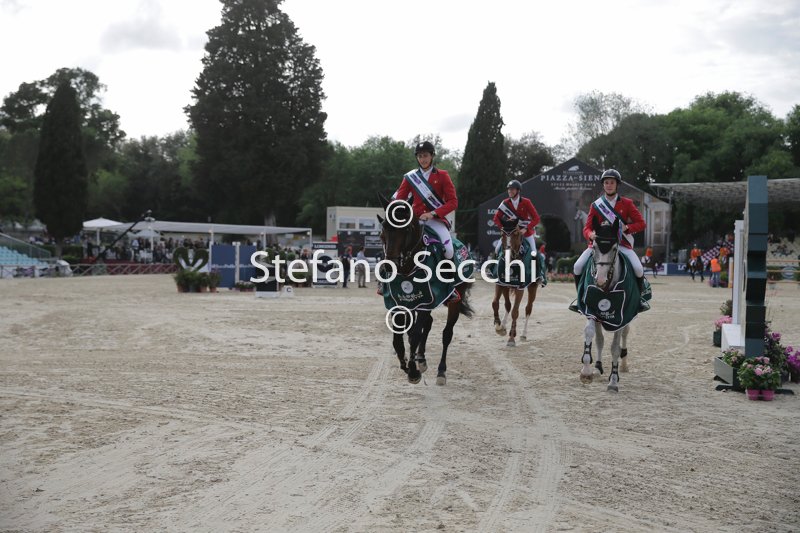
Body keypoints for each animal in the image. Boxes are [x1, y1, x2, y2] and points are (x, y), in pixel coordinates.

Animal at [378, 198, 474, 386]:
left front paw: (413, 371)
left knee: (446, 334)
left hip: (454, 301)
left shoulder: (426, 302)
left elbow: (414, 335)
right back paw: (421, 359)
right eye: (384, 226)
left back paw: (441, 371)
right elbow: (399, 339)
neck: (408, 267)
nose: (389, 266)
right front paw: (406, 364)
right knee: (427, 325)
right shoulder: (399, 303)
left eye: (406, 228)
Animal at [577, 218, 635, 392]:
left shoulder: (622, 316)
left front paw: (614, 381)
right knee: (600, 339)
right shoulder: (590, 309)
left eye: (615, 248)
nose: (600, 279)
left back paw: (624, 365)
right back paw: (597, 368)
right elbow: (590, 334)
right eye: (594, 247)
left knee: (625, 335)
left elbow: (615, 348)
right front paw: (586, 371)